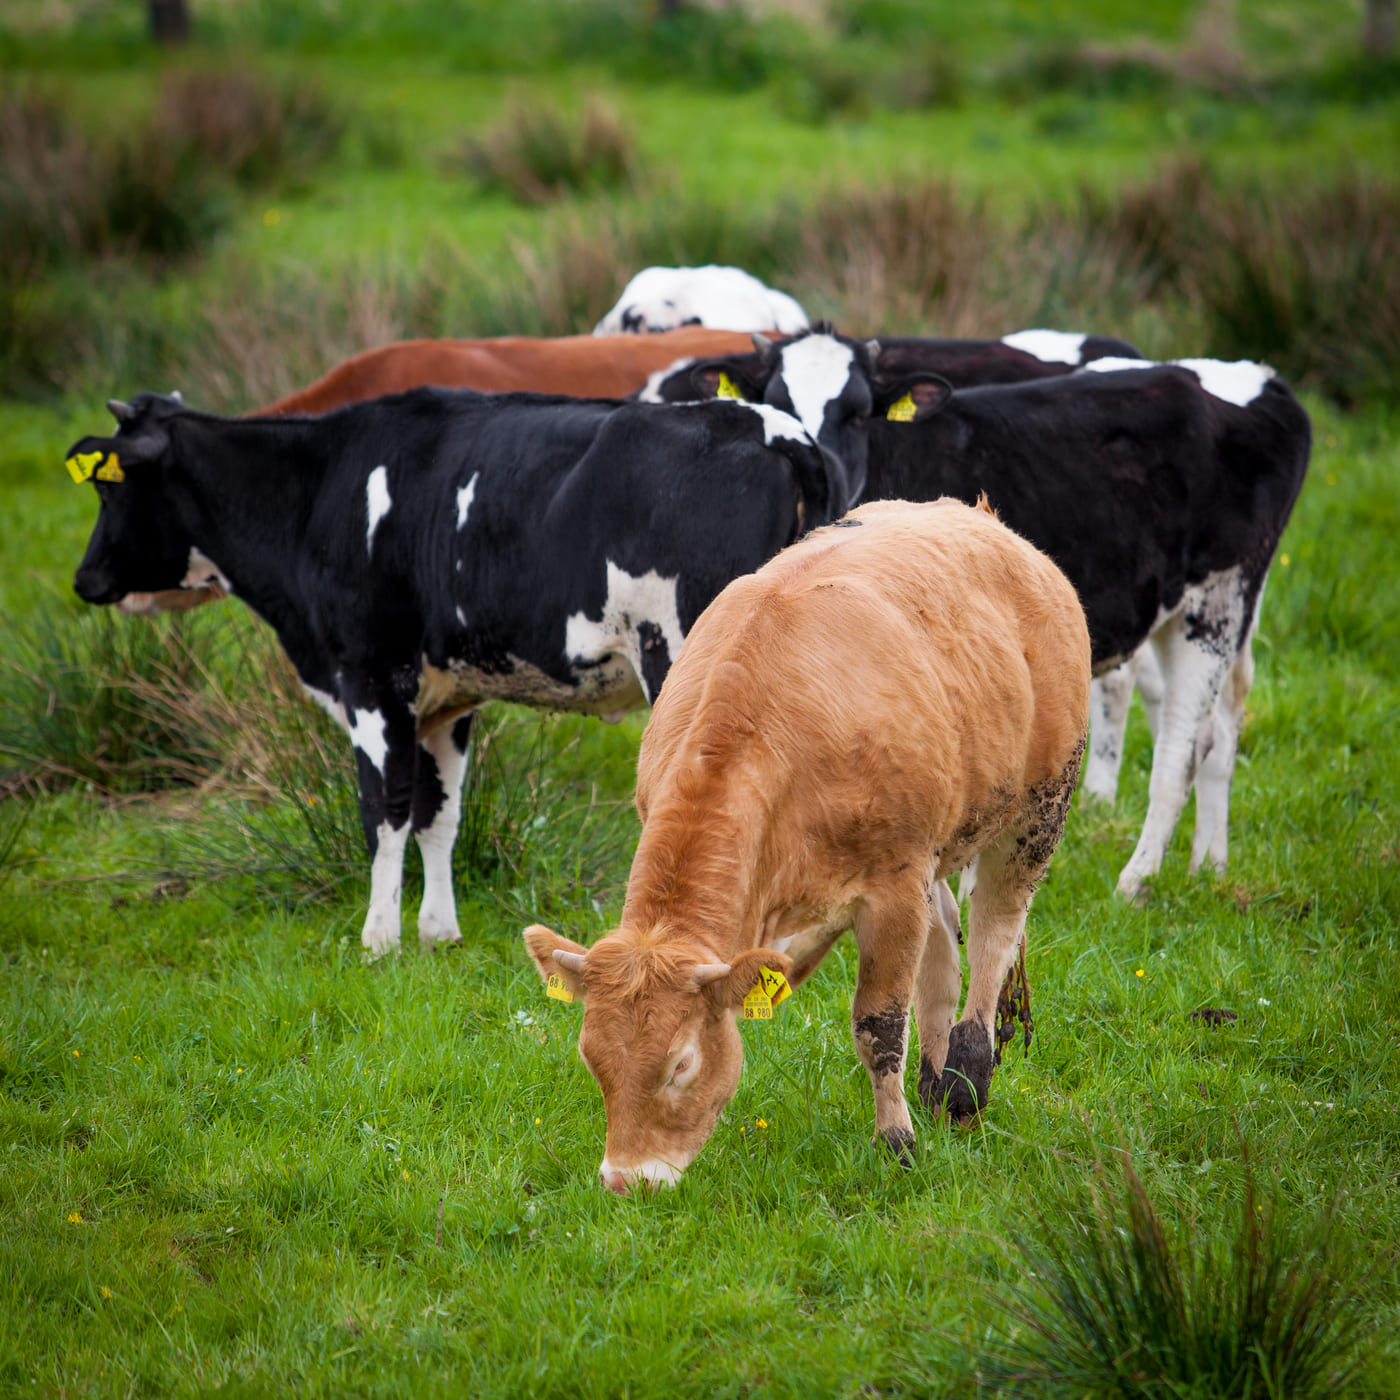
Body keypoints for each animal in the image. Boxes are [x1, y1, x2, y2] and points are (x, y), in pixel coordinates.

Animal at [67, 386, 855, 957]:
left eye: (109, 490)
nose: (83, 578)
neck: (320, 490)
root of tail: (773, 430)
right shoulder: (447, 698)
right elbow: (437, 813)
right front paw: (436, 932)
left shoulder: (371, 675)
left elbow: (382, 810)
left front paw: (378, 938)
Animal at [524, 499, 1090, 1192]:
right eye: (591, 1058)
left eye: (680, 1064)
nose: (627, 1180)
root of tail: (985, 521)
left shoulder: (893, 885)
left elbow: (879, 1026)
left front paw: (897, 1143)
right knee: (943, 950)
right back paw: (936, 1087)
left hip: (1038, 810)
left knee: (993, 931)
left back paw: (965, 1084)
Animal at [677, 332, 1311, 901]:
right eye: (777, 402)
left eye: (857, 413)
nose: (826, 465)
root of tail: (1257, 376)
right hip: (1203, 611)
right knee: (1220, 730)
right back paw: (1210, 866)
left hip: (1217, 602)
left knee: (1182, 747)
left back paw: (1138, 879)